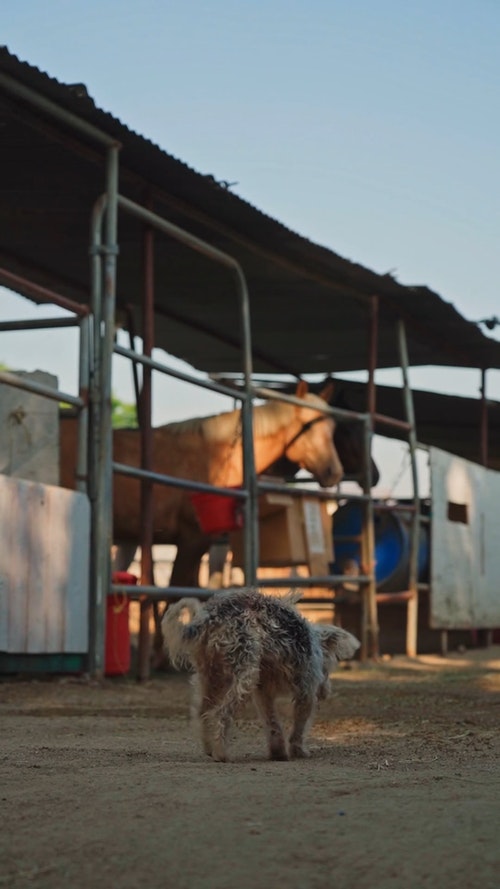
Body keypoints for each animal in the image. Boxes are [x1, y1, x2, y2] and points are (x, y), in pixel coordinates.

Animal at [58, 378, 342, 588]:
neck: (217, 455)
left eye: (332, 427)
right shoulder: (191, 540)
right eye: (307, 425)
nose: (335, 473)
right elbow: (177, 590)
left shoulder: (202, 544)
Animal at [164, 588, 360, 764]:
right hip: (243, 675)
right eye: (328, 668)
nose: (326, 692)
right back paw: (221, 753)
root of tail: (210, 616)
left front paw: (278, 752)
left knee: (202, 712)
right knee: (221, 713)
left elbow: (273, 723)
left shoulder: (263, 693)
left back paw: (209, 748)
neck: (314, 642)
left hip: (212, 677)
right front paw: (298, 751)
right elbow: (299, 726)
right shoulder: (306, 692)